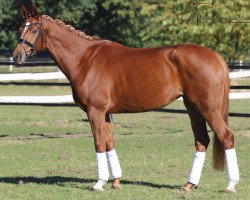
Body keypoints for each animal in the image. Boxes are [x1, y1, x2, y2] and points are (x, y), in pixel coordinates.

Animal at [12, 4, 239, 192]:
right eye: (20, 28)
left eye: (34, 30)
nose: (17, 56)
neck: (85, 59)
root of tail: (216, 57)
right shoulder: (105, 113)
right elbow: (109, 143)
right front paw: (116, 182)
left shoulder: (95, 111)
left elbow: (99, 143)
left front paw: (99, 183)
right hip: (193, 109)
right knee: (202, 140)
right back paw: (189, 184)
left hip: (208, 108)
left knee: (226, 137)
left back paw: (230, 185)